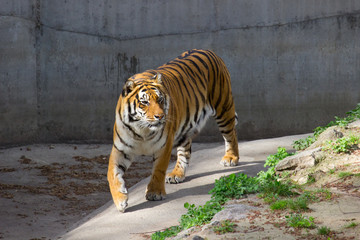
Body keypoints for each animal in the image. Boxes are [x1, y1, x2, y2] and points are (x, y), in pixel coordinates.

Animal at [107, 49, 239, 212]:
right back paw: (177, 174)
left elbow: (158, 170)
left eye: (160, 99)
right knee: (185, 151)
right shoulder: (120, 149)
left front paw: (155, 193)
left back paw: (231, 158)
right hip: (185, 129)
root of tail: (209, 51)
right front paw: (120, 200)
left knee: (231, 134)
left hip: (223, 107)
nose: (160, 116)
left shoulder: (164, 146)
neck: (142, 130)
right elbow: (112, 174)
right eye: (144, 102)